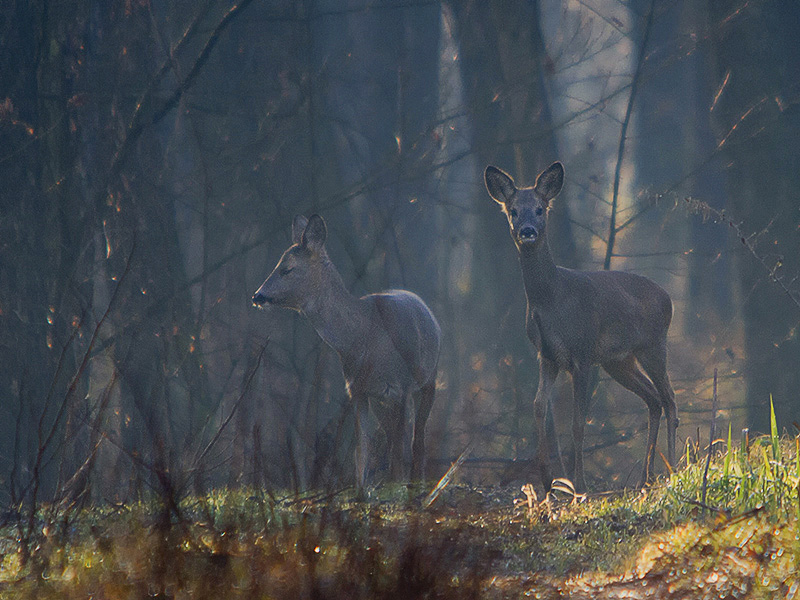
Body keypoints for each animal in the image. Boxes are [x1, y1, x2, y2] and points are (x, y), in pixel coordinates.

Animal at [253, 216, 440, 488]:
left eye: (286, 268)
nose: (257, 295)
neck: (365, 338)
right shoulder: (357, 389)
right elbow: (361, 449)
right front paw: (363, 489)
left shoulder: (403, 386)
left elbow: (400, 449)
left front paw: (398, 487)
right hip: (383, 400)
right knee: (391, 437)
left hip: (428, 380)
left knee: (418, 439)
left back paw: (416, 482)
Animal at [484, 161, 680, 492]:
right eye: (513, 210)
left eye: (540, 209)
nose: (527, 231)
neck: (551, 300)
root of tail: (668, 299)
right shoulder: (547, 355)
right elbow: (539, 407)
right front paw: (548, 481)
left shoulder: (583, 352)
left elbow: (578, 422)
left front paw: (580, 484)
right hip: (619, 361)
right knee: (653, 399)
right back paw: (645, 477)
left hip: (653, 345)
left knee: (669, 400)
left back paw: (675, 469)